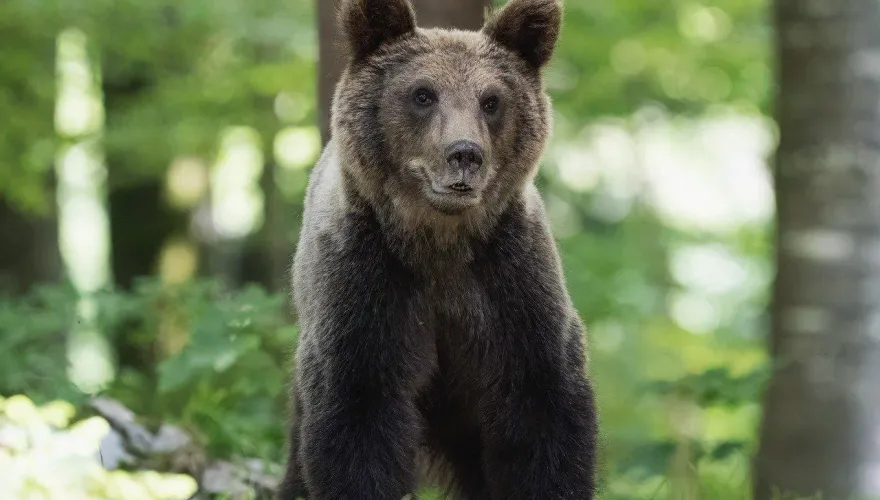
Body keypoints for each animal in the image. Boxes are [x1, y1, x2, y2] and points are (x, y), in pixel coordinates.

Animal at [278, 0, 598, 498]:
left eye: (491, 100)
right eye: (423, 94)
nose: (464, 154)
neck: (439, 243)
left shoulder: (512, 284)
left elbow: (543, 413)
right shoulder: (366, 287)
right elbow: (357, 418)